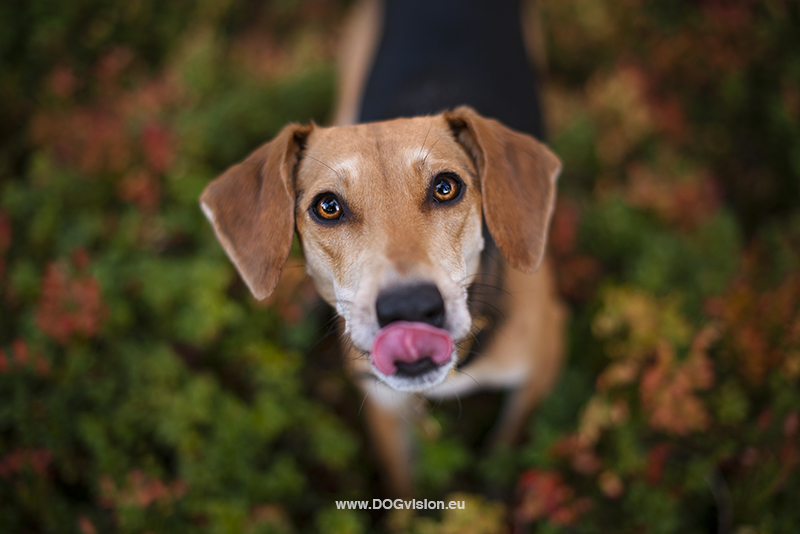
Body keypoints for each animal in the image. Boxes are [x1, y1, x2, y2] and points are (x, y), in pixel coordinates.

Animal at [198, 0, 564, 500]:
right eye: (327, 206)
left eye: (446, 187)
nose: (409, 308)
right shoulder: (383, 406)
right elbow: (402, 487)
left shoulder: (541, 366)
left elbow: (505, 445)